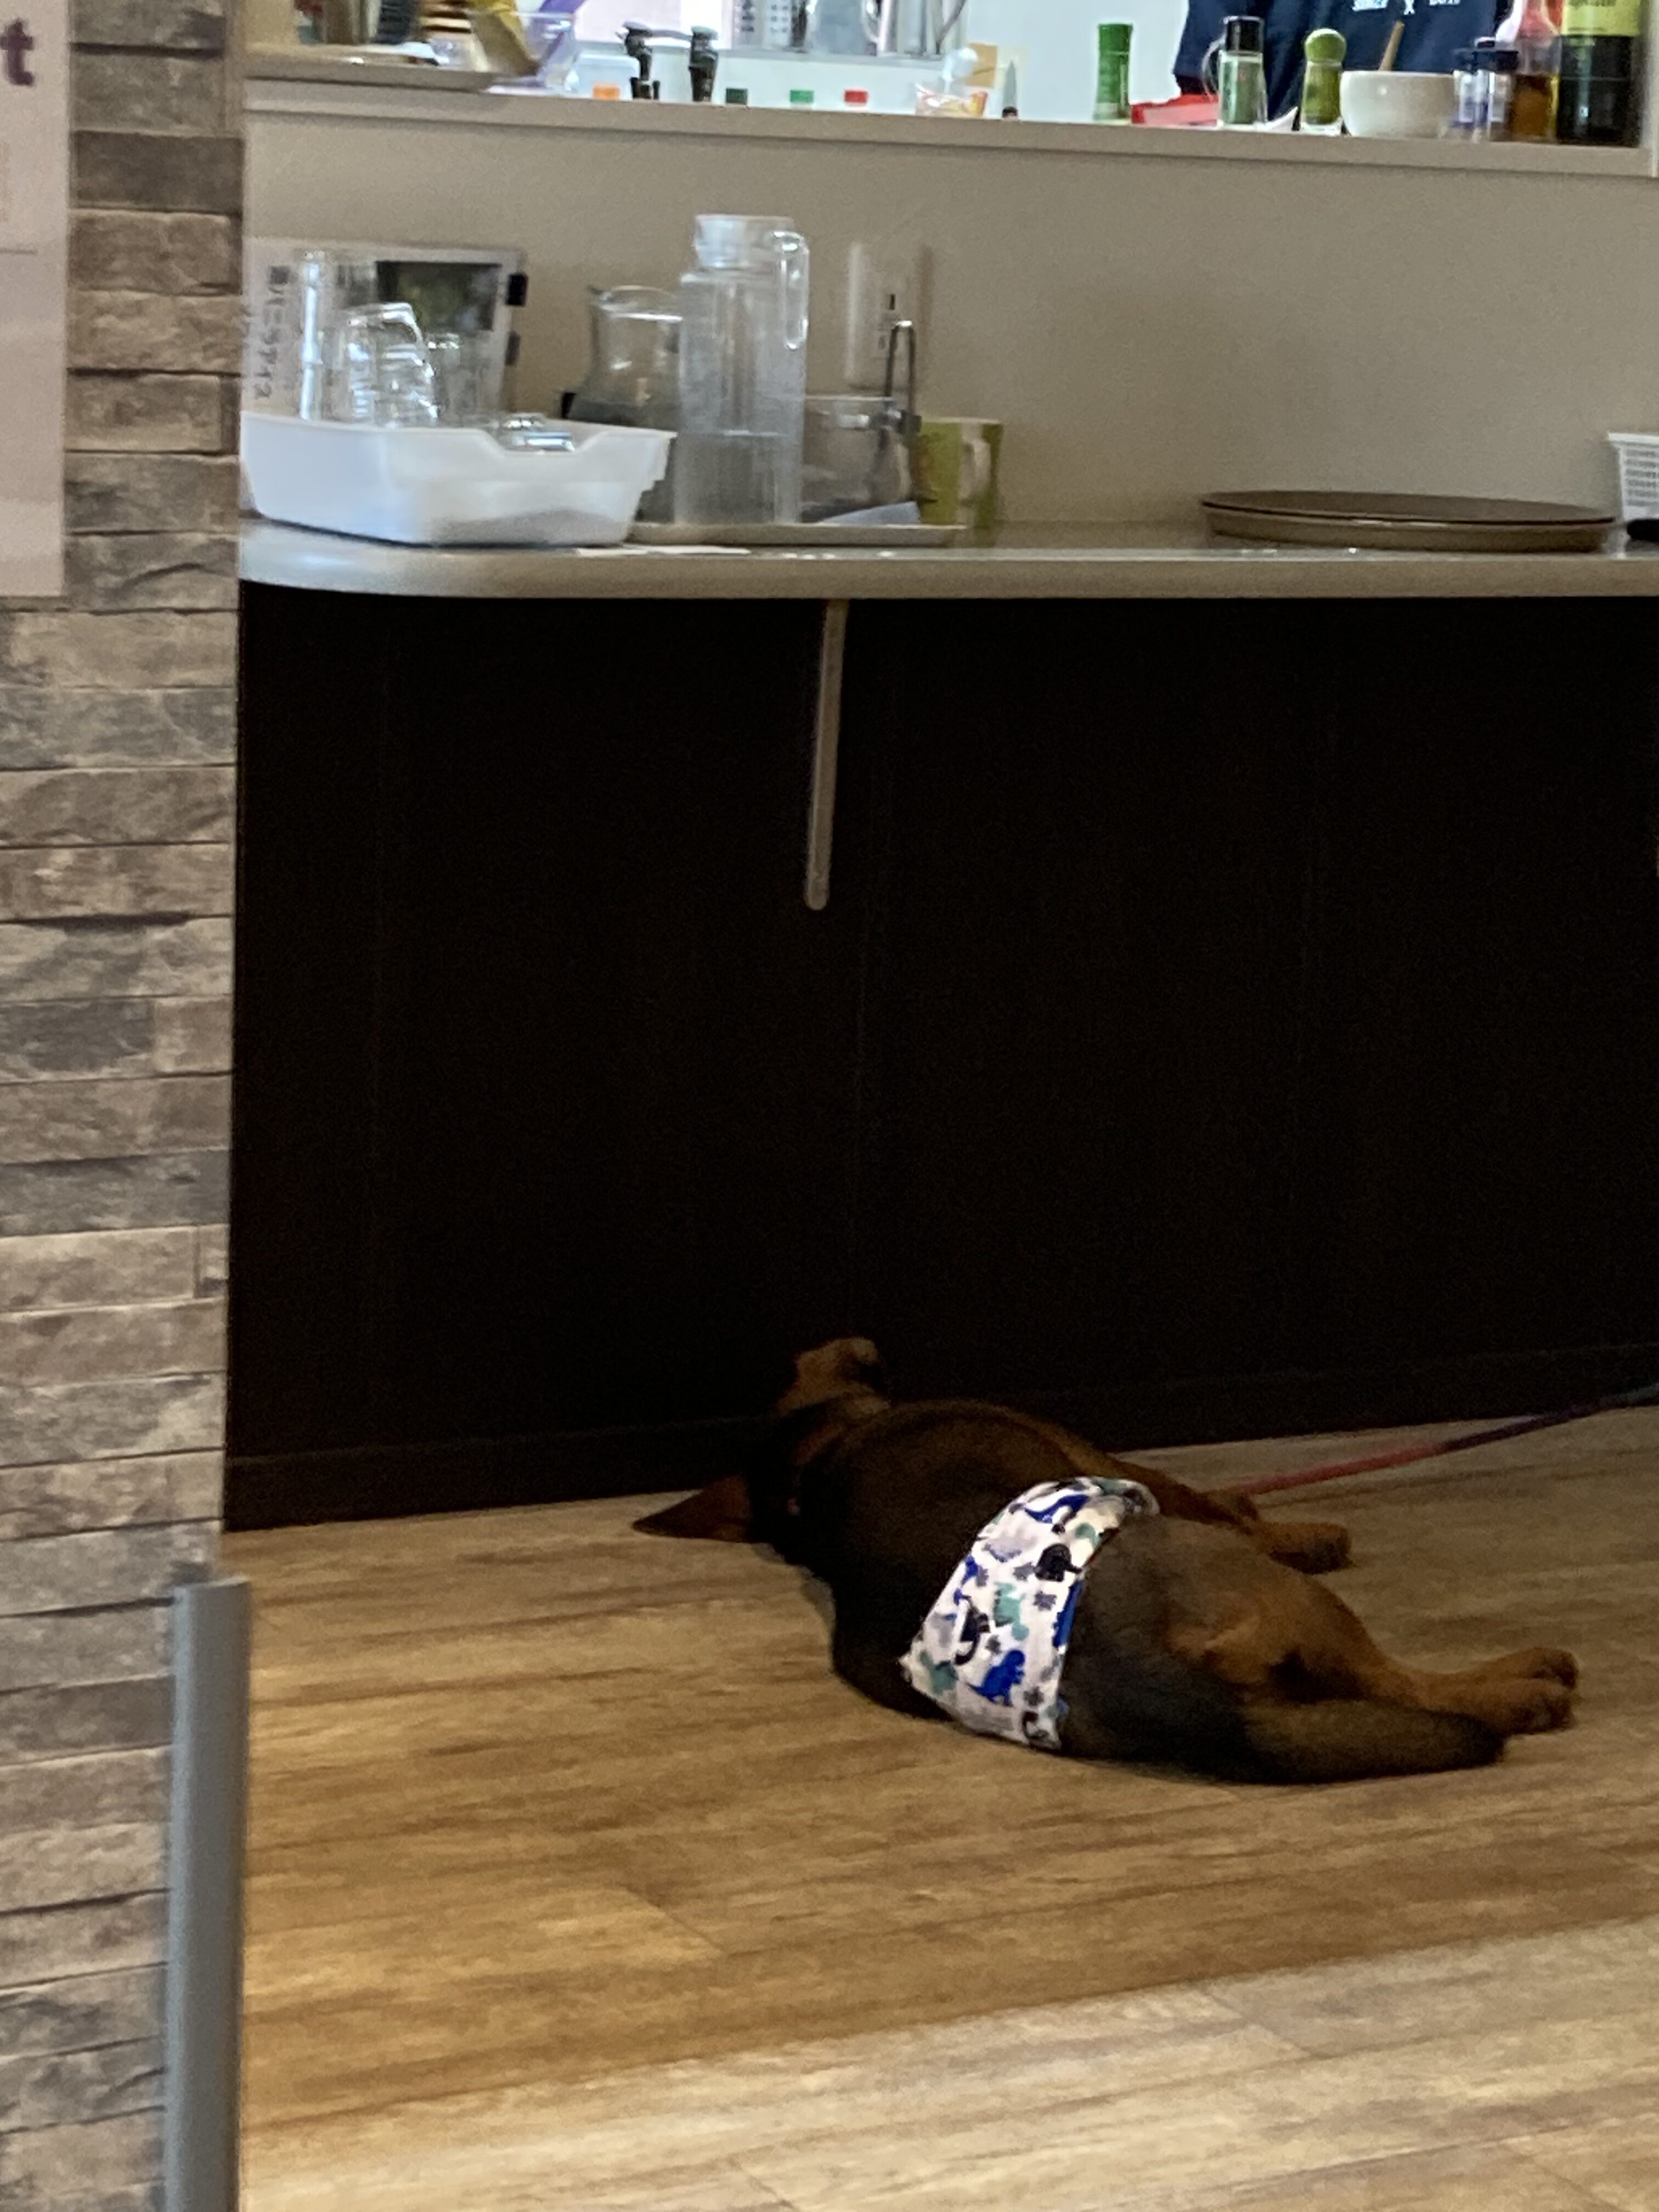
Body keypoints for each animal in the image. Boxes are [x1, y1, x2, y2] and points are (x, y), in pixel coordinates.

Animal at [637, 1338, 1579, 1784]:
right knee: (1406, 1684)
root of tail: (1140, 1669)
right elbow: (1218, 1499)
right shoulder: (1111, 1459)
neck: (817, 1462)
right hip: (1286, 1598)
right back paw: (1525, 1683)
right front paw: (1307, 1531)